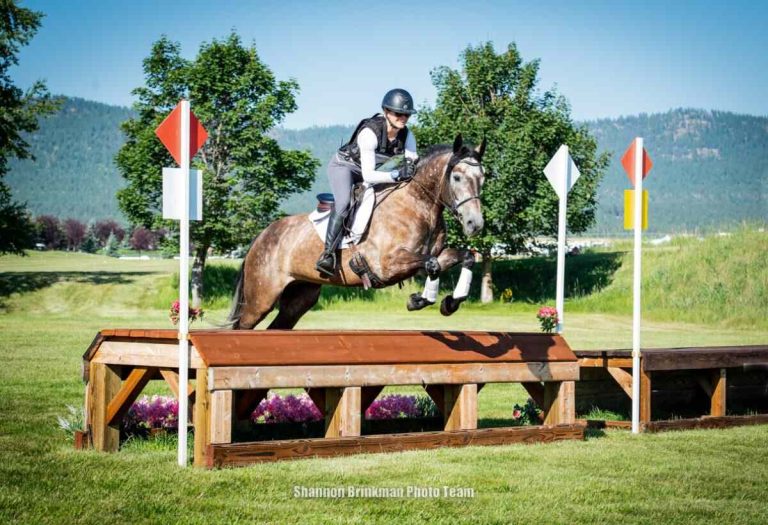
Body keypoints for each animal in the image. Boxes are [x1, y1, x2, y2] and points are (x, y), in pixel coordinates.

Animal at [225, 133, 486, 330]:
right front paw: (419, 300)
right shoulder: (386, 265)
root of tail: (261, 237)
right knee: (243, 326)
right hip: (261, 297)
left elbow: (463, 257)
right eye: (457, 177)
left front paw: (450, 302)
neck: (419, 204)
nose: (475, 224)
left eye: (482, 178)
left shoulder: (431, 255)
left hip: (300, 296)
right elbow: (432, 265)